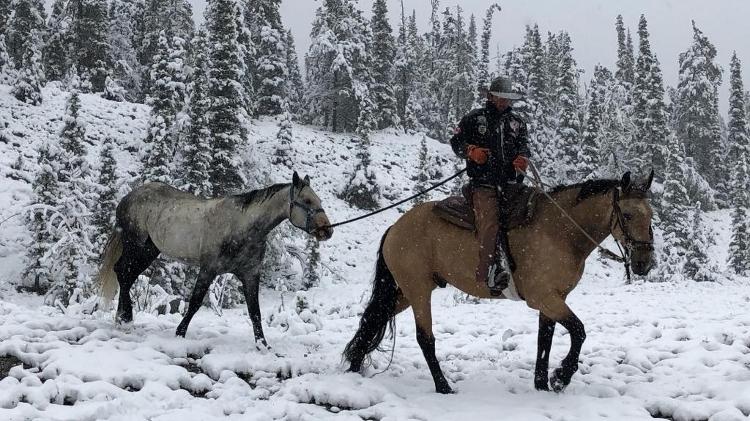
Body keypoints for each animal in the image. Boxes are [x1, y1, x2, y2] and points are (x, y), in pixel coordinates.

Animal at [98, 171, 334, 344]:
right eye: (306, 200)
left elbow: (254, 311)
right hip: (135, 246)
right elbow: (194, 303)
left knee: (127, 275)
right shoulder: (208, 269)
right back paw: (125, 318)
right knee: (122, 272)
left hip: (149, 251)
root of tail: (128, 197)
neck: (242, 227)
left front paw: (262, 345)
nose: (327, 231)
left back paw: (122, 318)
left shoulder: (250, 275)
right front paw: (179, 334)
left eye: (318, 200)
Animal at [344, 171, 656, 394]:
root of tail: (395, 227)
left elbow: (545, 340)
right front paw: (561, 377)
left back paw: (354, 365)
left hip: (405, 292)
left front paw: (542, 384)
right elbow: (578, 331)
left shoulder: (554, 299)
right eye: (627, 214)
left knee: (374, 318)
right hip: (418, 291)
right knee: (425, 338)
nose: (643, 262)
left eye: (651, 215)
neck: (560, 231)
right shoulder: (544, 298)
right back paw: (443, 387)